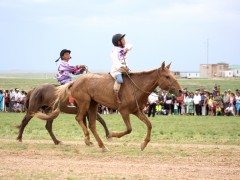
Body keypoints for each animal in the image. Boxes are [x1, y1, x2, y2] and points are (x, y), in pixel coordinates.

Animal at [54, 61, 182, 151]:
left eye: (172, 75)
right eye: (167, 76)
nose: (180, 91)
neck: (135, 87)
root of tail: (74, 82)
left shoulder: (137, 111)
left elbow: (149, 125)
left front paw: (144, 144)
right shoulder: (123, 111)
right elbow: (129, 129)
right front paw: (112, 134)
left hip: (93, 105)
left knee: (92, 125)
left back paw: (102, 146)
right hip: (84, 103)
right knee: (79, 118)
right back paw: (87, 138)